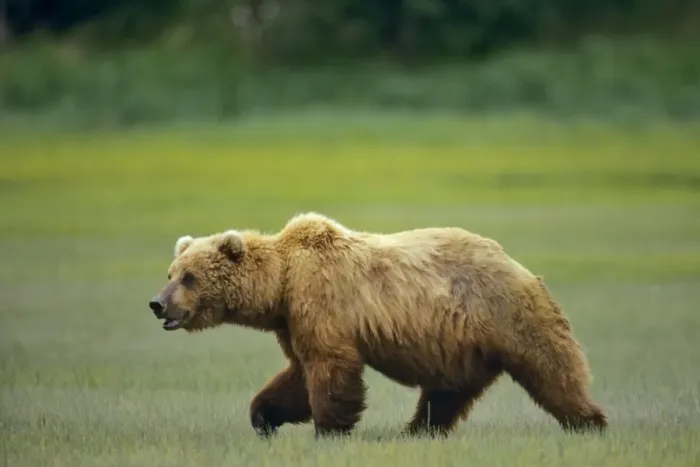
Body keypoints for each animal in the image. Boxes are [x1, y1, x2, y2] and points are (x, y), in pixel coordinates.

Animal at [148, 212, 607, 439]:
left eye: (190, 277)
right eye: (171, 272)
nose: (157, 303)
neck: (281, 284)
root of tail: (520, 266)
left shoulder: (322, 303)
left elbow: (330, 367)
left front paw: (329, 429)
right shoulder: (293, 320)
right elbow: (297, 374)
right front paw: (264, 416)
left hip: (507, 315)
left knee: (551, 369)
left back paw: (590, 422)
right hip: (462, 347)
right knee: (446, 394)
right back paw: (419, 431)